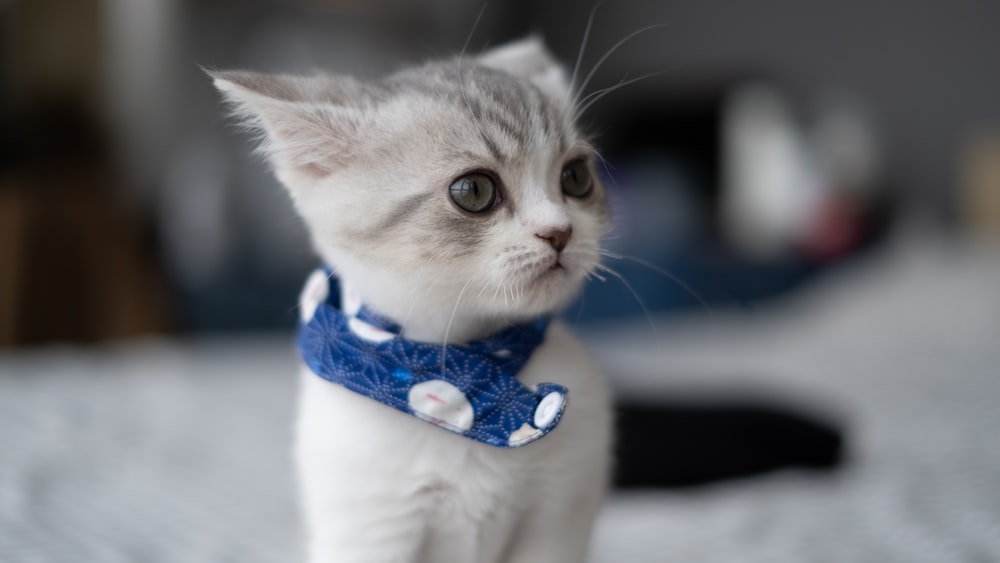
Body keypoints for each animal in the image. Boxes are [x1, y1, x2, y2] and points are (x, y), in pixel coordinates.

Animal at [215, 38, 612, 563]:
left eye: (576, 177)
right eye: (474, 190)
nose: (560, 231)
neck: (463, 377)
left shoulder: (558, 514)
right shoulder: (369, 527)